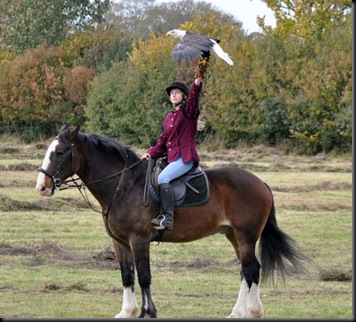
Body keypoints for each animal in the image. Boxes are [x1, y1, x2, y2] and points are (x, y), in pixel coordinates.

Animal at [35, 122, 308, 316]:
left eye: (59, 152)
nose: (42, 186)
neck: (124, 185)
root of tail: (260, 182)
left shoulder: (139, 240)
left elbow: (144, 276)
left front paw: (147, 313)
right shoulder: (120, 242)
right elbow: (127, 275)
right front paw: (127, 312)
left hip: (246, 236)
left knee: (250, 269)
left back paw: (245, 312)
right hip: (234, 236)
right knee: (249, 269)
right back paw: (246, 311)